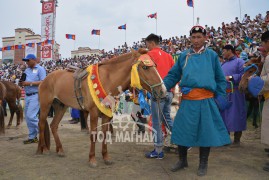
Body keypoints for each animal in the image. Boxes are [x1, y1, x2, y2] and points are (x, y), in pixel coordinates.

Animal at [35, 48, 165, 167]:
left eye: (155, 65)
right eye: (145, 67)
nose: (162, 91)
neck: (107, 79)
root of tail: (44, 80)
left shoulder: (107, 114)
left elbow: (105, 134)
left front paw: (106, 157)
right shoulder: (93, 113)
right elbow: (94, 134)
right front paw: (92, 159)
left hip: (61, 107)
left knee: (53, 126)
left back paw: (60, 150)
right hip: (45, 105)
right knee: (41, 124)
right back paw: (43, 149)